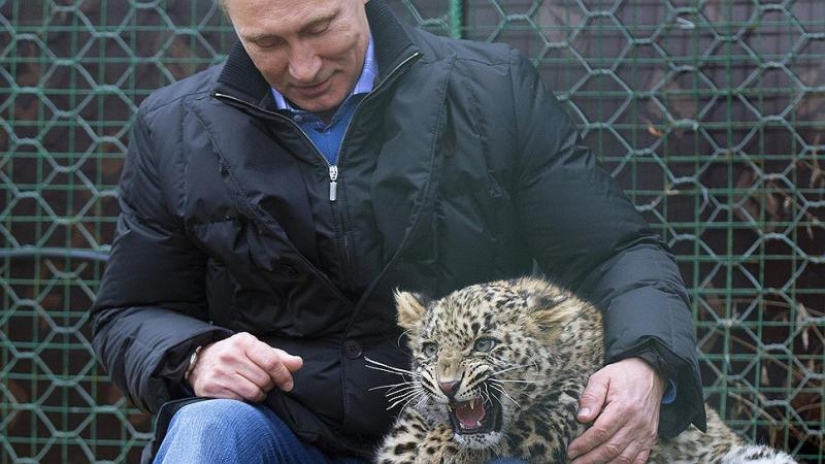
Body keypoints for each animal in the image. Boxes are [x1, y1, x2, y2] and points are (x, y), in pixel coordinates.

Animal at [370, 277, 799, 464]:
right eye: (430, 350)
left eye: (484, 345)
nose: (447, 385)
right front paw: (407, 450)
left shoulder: (572, 414)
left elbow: (514, 431)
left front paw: (434, 452)